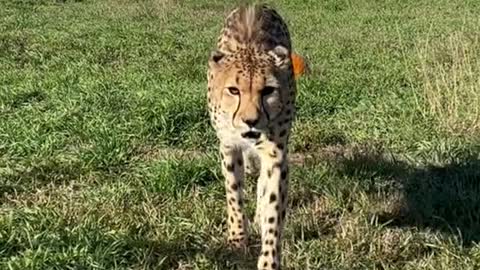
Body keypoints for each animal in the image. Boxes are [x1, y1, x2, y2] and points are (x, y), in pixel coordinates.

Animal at [206, 4, 296, 270]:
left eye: (268, 90)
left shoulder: (276, 153)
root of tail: (255, 4)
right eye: (233, 90)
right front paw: (237, 238)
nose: (251, 120)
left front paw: (269, 259)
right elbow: (234, 193)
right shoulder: (228, 147)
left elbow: (273, 205)